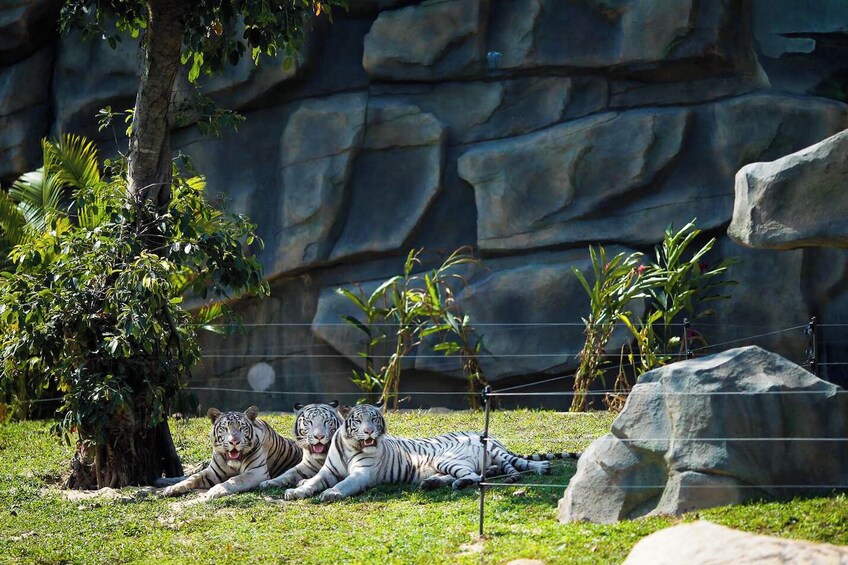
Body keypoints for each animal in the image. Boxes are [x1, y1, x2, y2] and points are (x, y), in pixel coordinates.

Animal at [158, 406, 302, 498]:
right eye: (225, 428)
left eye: (242, 428)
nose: (234, 442)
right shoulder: (212, 472)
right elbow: (194, 477)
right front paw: (172, 488)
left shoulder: (257, 472)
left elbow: (235, 479)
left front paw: (215, 491)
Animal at [282, 400, 580, 502]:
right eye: (359, 420)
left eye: (374, 420)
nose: (369, 432)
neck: (350, 445)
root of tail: (480, 435)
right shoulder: (328, 470)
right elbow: (313, 481)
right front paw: (297, 491)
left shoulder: (362, 474)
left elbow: (343, 484)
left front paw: (331, 494)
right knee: (480, 474)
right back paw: (432, 484)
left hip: (448, 458)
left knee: (479, 476)